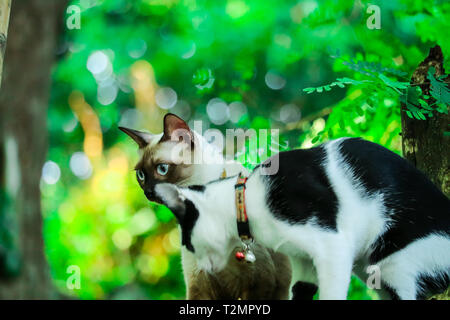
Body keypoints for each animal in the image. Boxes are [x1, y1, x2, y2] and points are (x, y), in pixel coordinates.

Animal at [154, 138, 450, 300]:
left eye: (188, 244)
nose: (203, 268)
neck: (247, 199)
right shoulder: (303, 260)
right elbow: (301, 289)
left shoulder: (332, 246)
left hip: (391, 263)